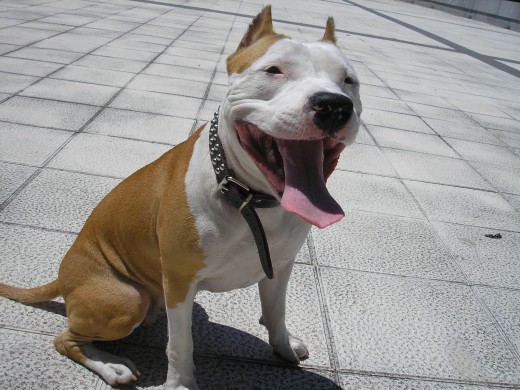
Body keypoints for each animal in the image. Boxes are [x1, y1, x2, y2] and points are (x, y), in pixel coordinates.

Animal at [0, 6, 362, 390]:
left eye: (348, 81)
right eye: (274, 70)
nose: (333, 105)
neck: (247, 196)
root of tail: (63, 276)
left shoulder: (280, 265)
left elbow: (276, 313)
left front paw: (284, 347)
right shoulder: (178, 280)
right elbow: (181, 344)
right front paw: (181, 383)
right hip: (126, 298)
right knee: (67, 338)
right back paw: (112, 366)